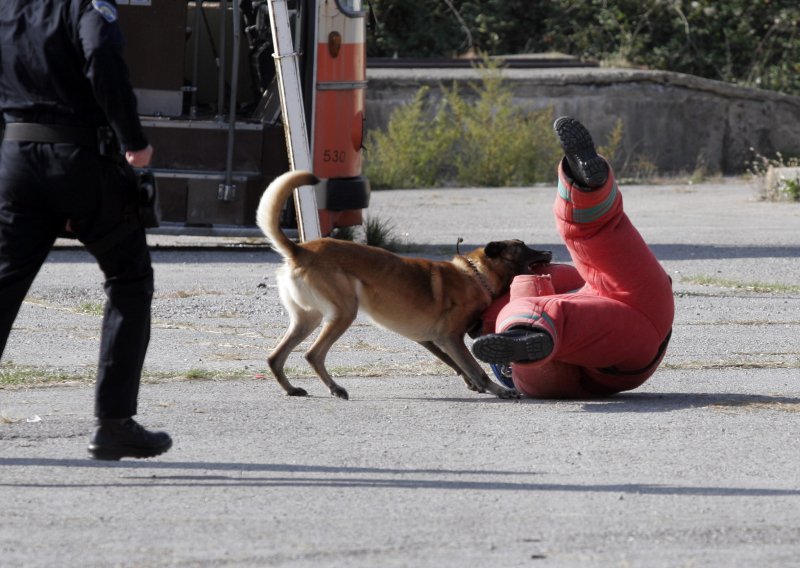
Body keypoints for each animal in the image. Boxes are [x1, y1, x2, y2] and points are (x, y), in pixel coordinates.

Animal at [260, 170, 552, 400]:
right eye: (523, 247)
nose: (549, 252)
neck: (475, 274)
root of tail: (299, 251)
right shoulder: (450, 337)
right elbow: (475, 367)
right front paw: (498, 389)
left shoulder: (430, 339)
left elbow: (457, 364)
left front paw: (474, 384)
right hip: (343, 314)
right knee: (313, 355)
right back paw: (335, 388)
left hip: (306, 320)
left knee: (275, 357)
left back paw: (291, 389)